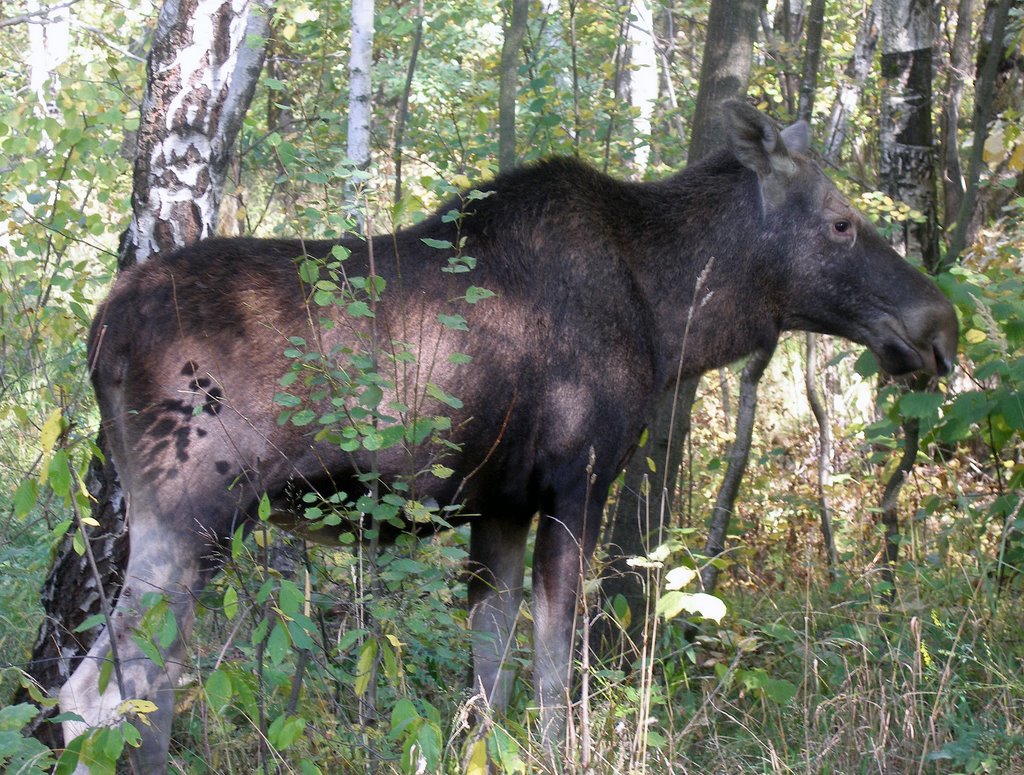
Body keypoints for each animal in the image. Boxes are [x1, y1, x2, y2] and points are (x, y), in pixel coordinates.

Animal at [59, 99, 954, 769]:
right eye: (841, 223)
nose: (939, 324)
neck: (672, 319)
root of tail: (100, 333)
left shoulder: (497, 507)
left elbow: (487, 681)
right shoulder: (576, 481)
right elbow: (555, 675)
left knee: (91, 694)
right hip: (193, 510)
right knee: (117, 692)